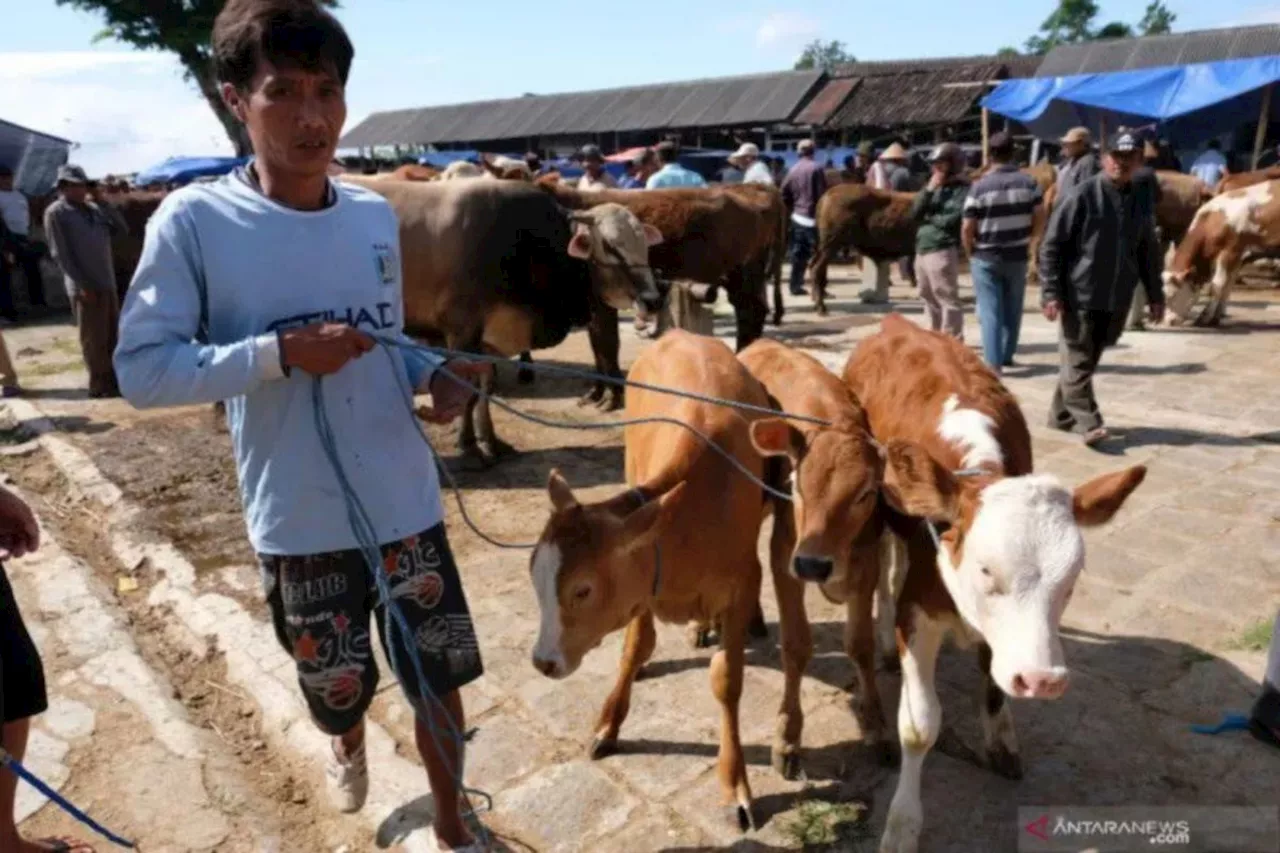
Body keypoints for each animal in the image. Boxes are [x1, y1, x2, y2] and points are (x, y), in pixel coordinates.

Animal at [839, 312, 1152, 850]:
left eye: (1073, 578)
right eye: (985, 569)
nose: (1043, 680)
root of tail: (895, 322)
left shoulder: (1002, 636)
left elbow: (993, 683)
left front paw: (1002, 741)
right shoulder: (918, 612)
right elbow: (919, 726)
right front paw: (902, 825)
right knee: (884, 572)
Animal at [1162, 179, 1280, 325]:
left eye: (1172, 294)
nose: (1168, 321)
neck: (1213, 219)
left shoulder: (1229, 252)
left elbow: (1217, 284)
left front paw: (1205, 317)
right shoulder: (1237, 258)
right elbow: (1228, 285)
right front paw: (1217, 316)